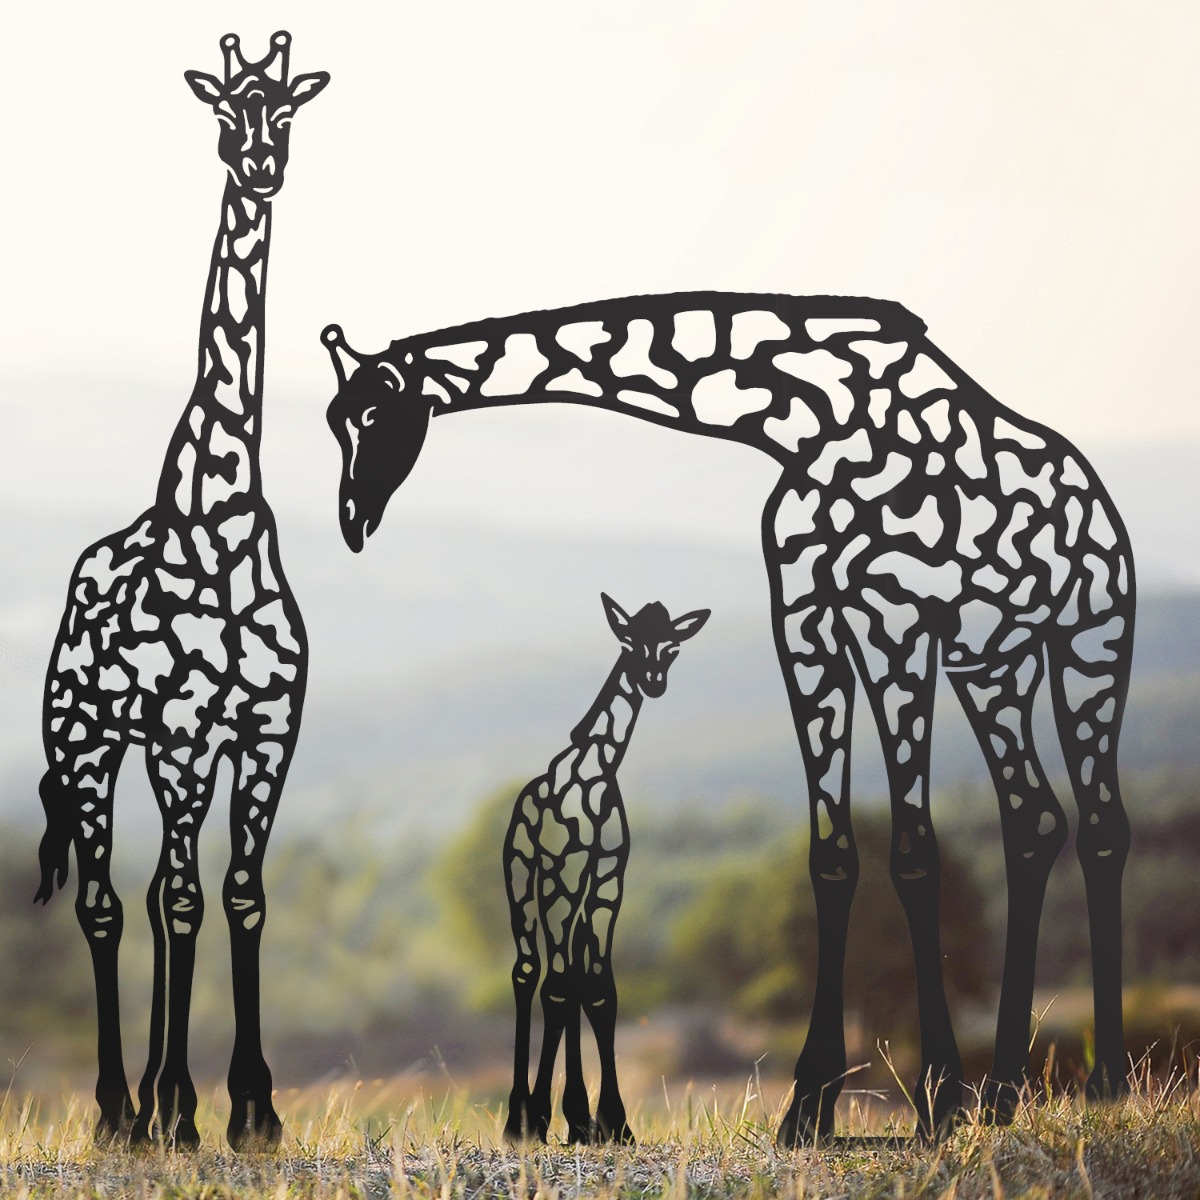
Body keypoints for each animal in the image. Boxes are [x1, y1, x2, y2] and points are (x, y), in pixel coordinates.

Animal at [34, 32, 327, 1149]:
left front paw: (252, 1109)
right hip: (85, 739)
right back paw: (123, 1110)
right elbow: (186, 902)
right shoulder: (184, 732)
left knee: (160, 889)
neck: (221, 519)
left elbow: (238, 896)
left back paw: (161, 1103)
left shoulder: (264, 730)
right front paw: (192, 1109)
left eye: (285, 112)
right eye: (222, 112)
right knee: (110, 902)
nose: (260, 167)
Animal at [503, 593, 709, 1145]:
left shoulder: (607, 882)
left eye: (672, 646)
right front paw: (541, 1120)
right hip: (524, 881)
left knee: (568, 972)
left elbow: (598, 987)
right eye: (630, 641)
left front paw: (612, 1123)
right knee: (530, 971)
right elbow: (558, 987)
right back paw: (519, 1120)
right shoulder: (563, 874)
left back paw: (574, 1118)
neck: (598, 770)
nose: (653, 682)